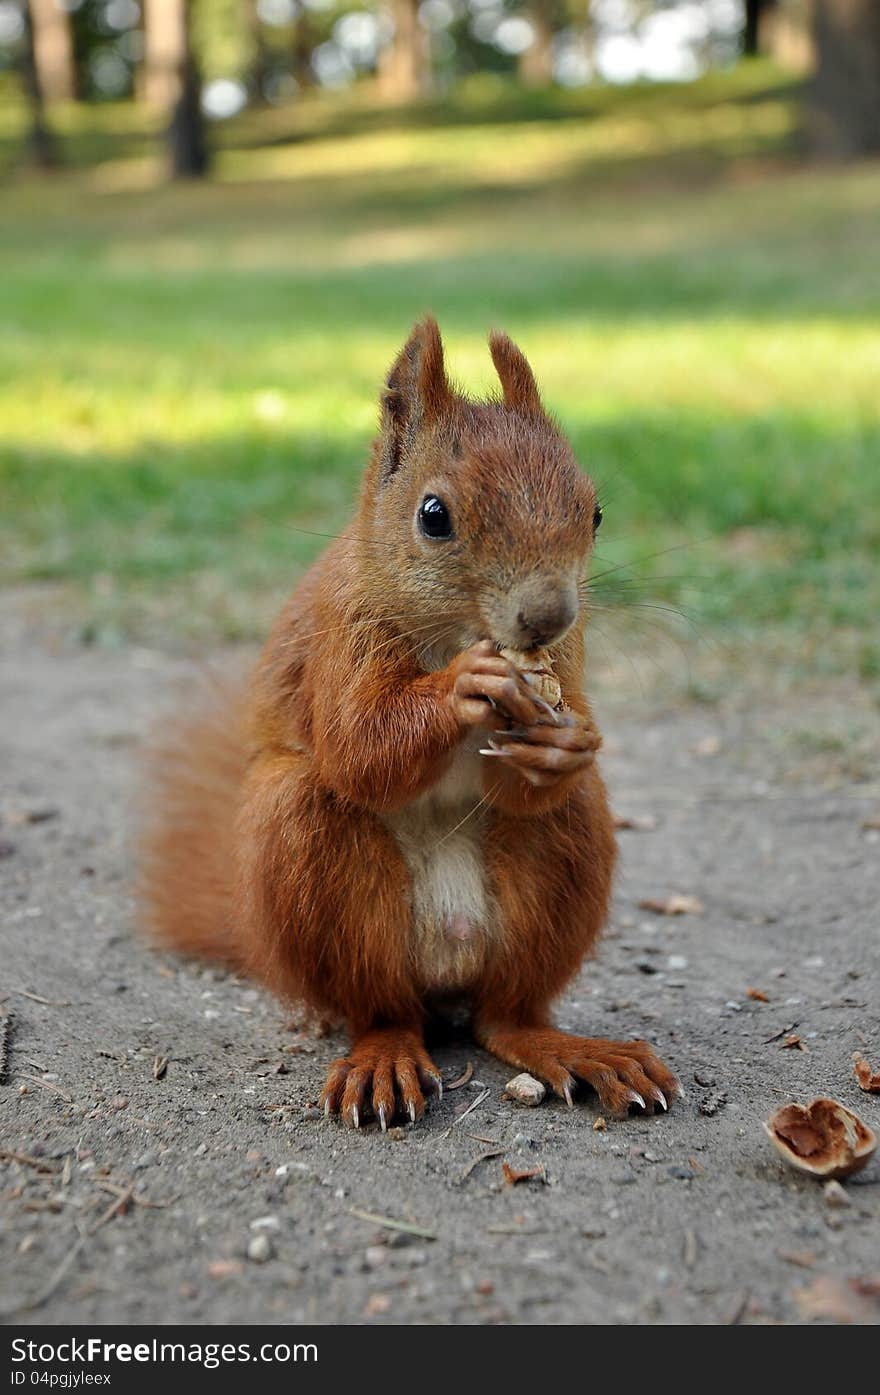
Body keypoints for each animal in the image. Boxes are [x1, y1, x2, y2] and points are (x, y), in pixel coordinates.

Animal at [140, 320, 680, 1127]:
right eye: (434, 516)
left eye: (594, 512)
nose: (547, 614)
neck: (455, 633)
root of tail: (446, 964)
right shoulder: (342, 632)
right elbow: (359, 748)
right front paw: (466, 684)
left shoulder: (567, 657)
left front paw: (569, 741)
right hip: (313, 865)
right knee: (381, 1007)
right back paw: (384, 1056)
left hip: (557, 866)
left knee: (504, 1015)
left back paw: (569, 1047)